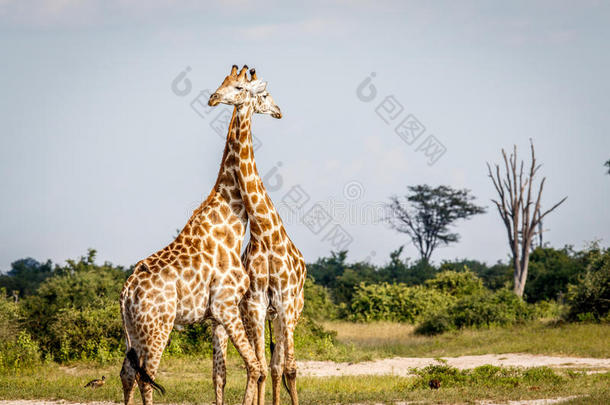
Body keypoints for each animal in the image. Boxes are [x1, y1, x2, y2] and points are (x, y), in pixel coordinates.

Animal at [120, 64, 268, 404]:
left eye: (238, 86)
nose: (213, 98)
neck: (233, 221)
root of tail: (127, 292)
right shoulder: (226, 306)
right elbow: (254, 368)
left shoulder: (217, 316)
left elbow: (221, 374)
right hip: (158, 326)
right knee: (147, 377)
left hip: (132, 331)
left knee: (127, 374)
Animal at [209, 67, 306, 404]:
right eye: (263, 94)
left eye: (240, 87)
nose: (278, 111)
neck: (264, 232)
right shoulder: (256, 305)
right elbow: (261, 367)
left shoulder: (285, 302)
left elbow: (289, 368)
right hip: (259, 315)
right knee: (262, 368)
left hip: (290, 312)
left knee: (280, 367)